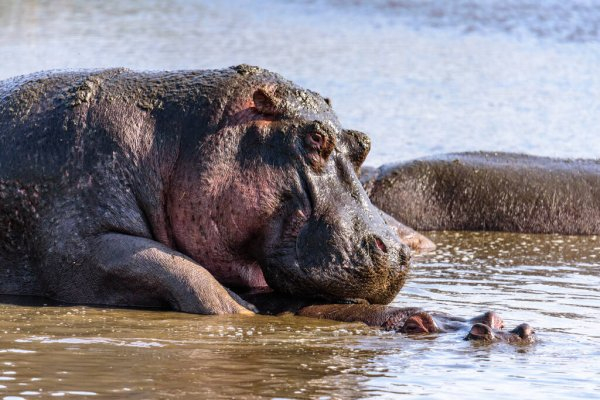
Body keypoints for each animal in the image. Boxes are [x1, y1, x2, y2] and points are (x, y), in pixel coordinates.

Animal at [0, 65, 414, 314]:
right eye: (315, 137)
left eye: (363, 143)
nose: (396, 252)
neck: (176, 138)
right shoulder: (76, 248)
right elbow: (180, 270)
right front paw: (244, 312)